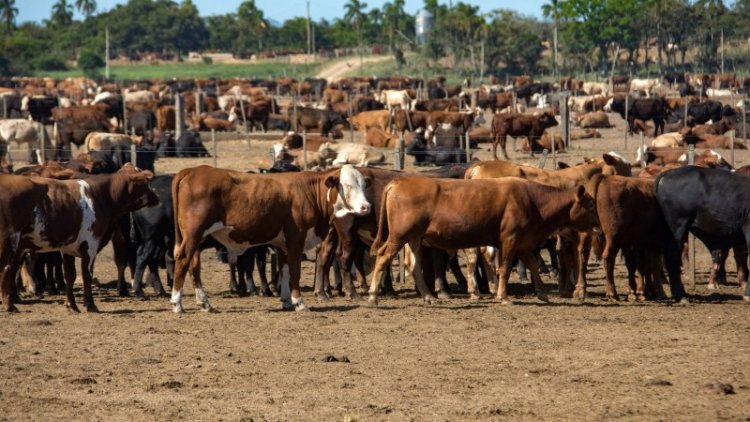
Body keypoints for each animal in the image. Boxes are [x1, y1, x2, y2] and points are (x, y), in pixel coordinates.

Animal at [0, 163, 157, 312]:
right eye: (146, 182)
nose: (156, 198)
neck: (101, 195)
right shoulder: (90, 245)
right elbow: (87, 274)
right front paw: (90, 305)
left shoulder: (68, 248)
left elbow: (70, 275)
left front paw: (71, 304)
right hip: (10, 241)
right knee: (6, 269)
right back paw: (9, 305)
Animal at [169, 165, 372, 314]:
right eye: (347, 186)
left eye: (363, 186)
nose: (366, 207)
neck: (309, 192)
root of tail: (191, 170)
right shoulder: (296, 239)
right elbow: (295, 271)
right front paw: (299, 302)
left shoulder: (281, 244)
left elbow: (284, 271)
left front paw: (286, 301)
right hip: (194, 234)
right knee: (183, 260)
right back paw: (177, 303)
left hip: (197, 238)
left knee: (194, 265)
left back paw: (204, 303)